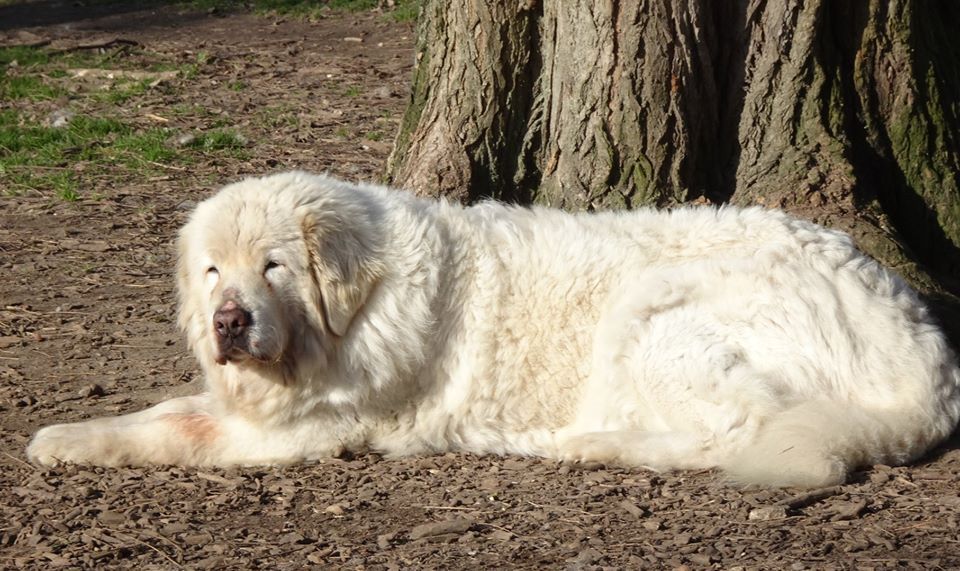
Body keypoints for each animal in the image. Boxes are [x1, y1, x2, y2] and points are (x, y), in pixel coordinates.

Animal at [28, 170, 960, 488]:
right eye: (213, 271)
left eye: (275, 266)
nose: (229, 321)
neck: (356, 314)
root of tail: (926, 346)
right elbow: (165, 408)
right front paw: (67, 431)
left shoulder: (297, 432)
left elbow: (170, 430)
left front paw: (62, 441)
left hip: (655, 311)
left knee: (736, 431)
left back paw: (596, 444)